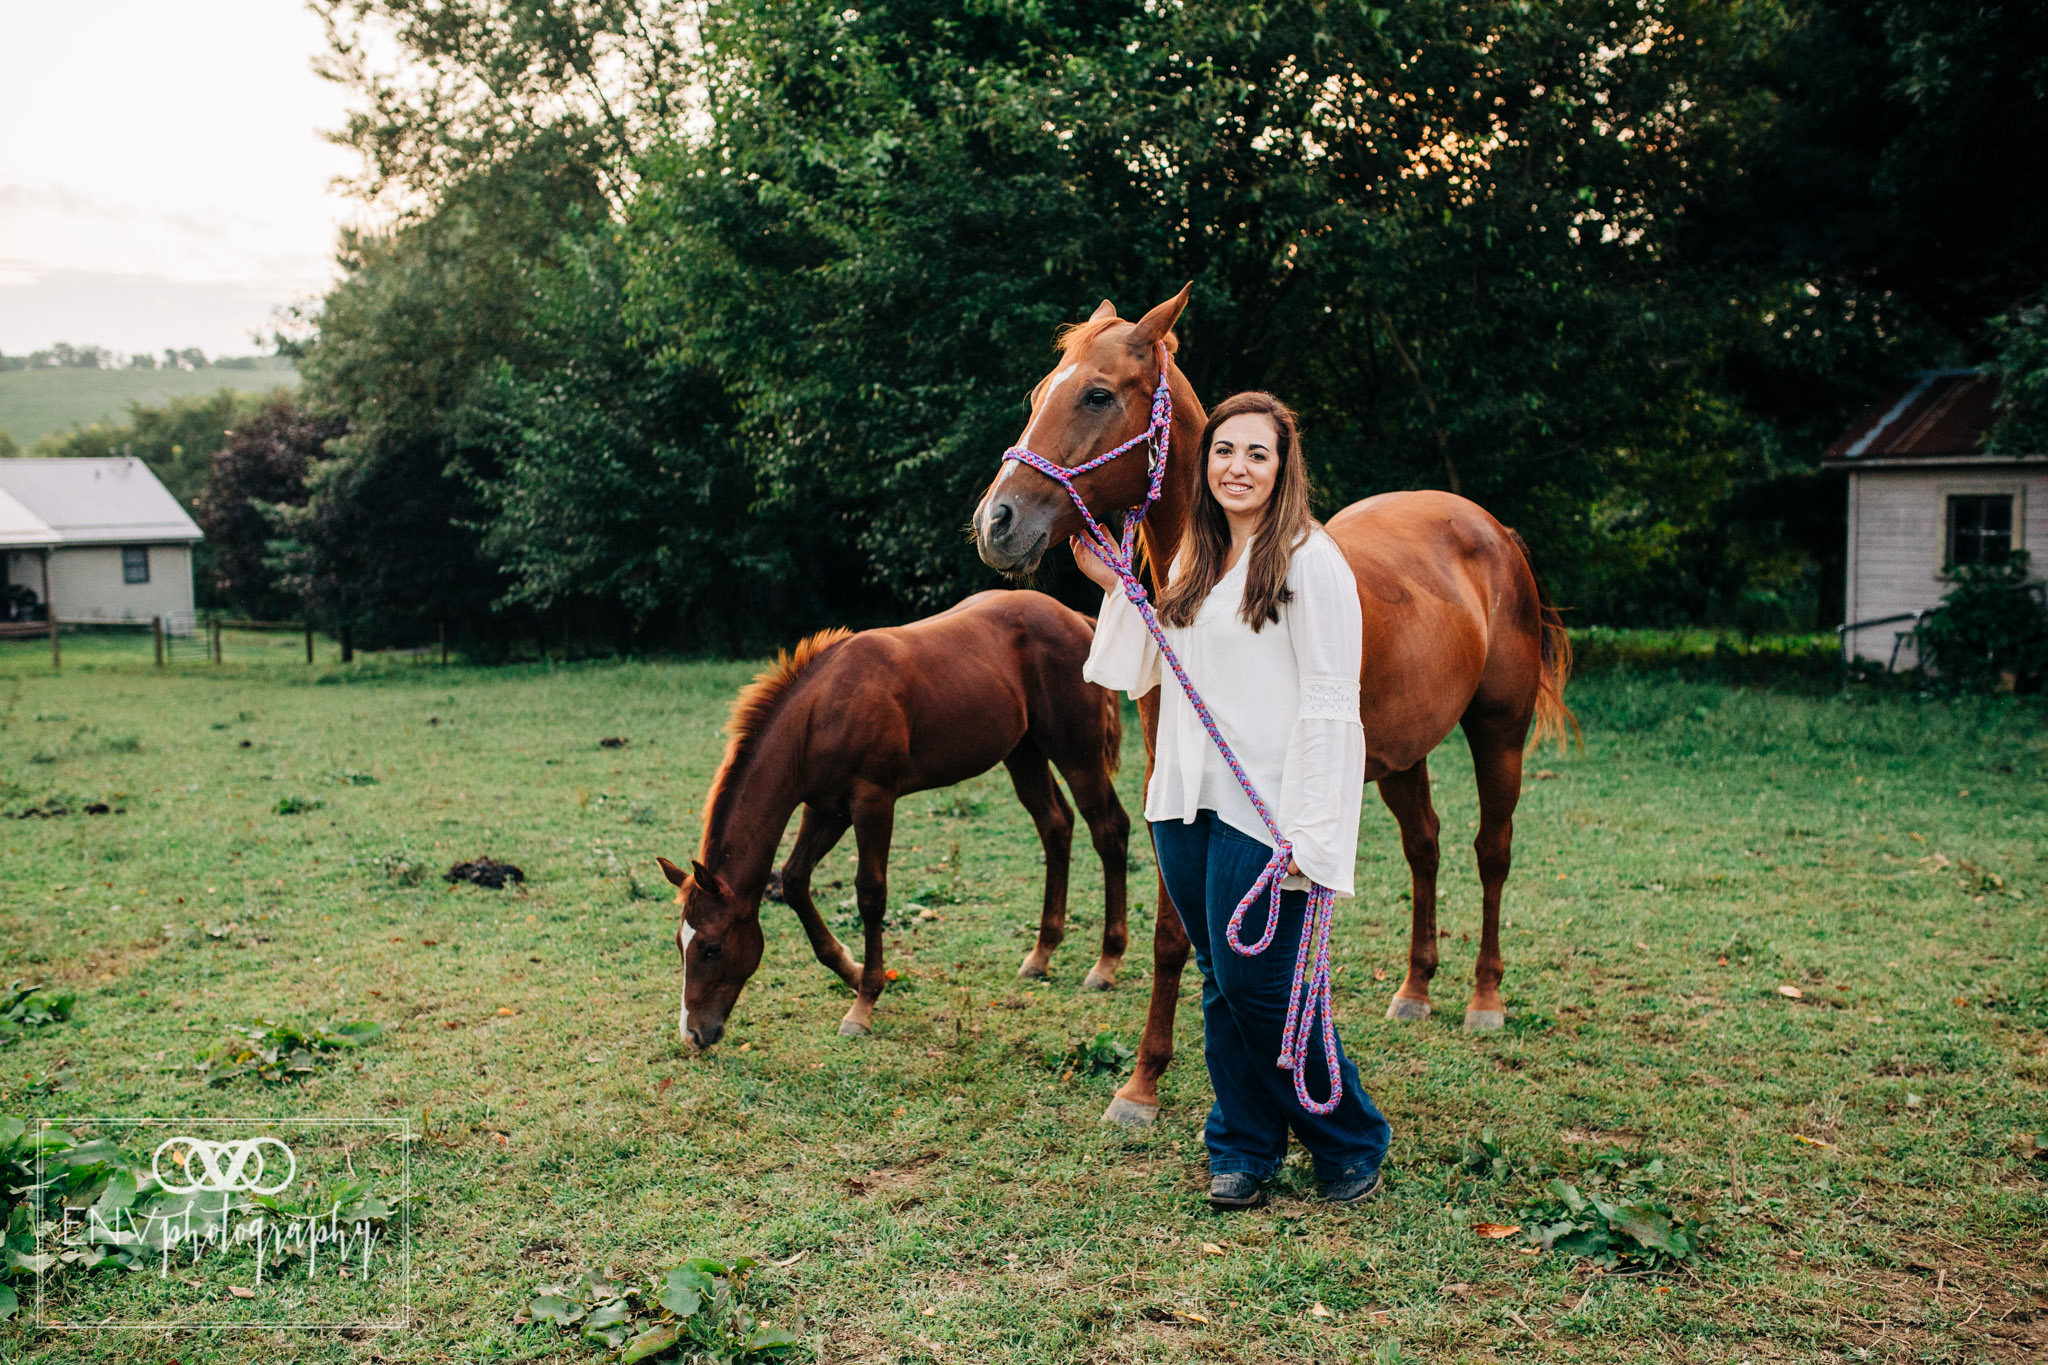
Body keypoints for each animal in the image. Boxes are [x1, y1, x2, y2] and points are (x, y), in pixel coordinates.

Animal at [655, 593, 1130, 1055]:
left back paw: (1106, 963)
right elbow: (793, 880)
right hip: (1024, 752)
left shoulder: (873, 801)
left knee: (1110, 830)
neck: (821, 714)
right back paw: (1041, 954)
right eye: (680, 944)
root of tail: (1076, 618)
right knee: (1055, 826)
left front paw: (864, 1004)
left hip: (1078, 753)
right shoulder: (825, 809)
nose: (693, 1034)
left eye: (712, 948)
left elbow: (870, 894)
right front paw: (850, 969)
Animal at [970, 286, 1564, 1121]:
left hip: (1498, 731)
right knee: (1426, 845)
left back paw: (1484, 998)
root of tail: (1494, 530)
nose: (998, 522)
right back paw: (1415, 988)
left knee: (1492, 850)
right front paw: (1143, 1082)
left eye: (1097, 395)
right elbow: (1174, 932)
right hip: (1399, 754)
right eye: (1036, 395)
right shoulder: (1168, 774)